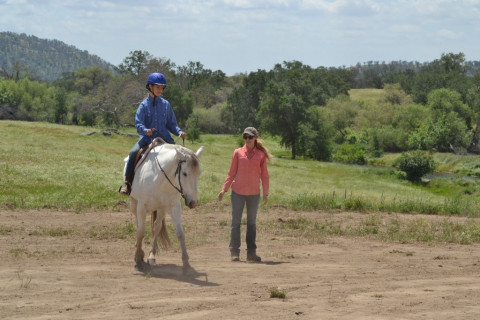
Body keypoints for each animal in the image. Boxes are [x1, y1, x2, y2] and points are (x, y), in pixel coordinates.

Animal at [124, 142, 203, 272]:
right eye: (185, 173)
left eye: (199, 173)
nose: (193, 202)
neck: (158, 177)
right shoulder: (141, 206)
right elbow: (140, 232)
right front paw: (138, 259)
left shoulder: (174, 207)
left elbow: (180, 234)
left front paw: (186, 264)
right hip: (134, 203)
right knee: (138, 224)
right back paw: (139, 249)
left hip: (162, 209)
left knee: (157, 227)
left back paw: (152, 255)